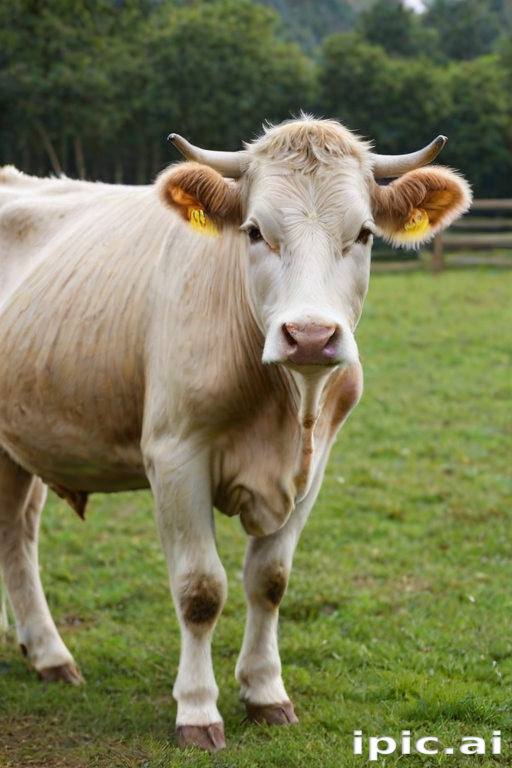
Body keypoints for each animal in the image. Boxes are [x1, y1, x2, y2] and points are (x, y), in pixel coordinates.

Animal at [0, 116, 471, 752]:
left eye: (365, 234)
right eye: (253, 231)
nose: (310, 336)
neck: (284, 412)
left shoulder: (315, 467)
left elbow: (269, 581)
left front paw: (266, 692)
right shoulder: (175, 455)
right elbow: (200, 590)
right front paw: (197, 710)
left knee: (17, 534)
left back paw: (46, 653)